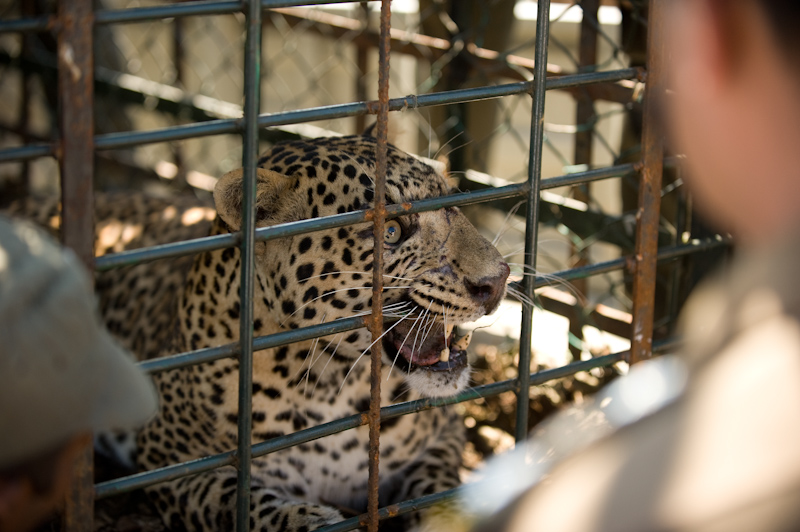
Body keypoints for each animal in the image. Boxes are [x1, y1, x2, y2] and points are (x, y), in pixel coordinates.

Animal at [10, 131, 506, 528]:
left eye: (452, 199)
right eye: (391, 232)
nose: (498, 280)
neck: (329, 385)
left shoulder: (443, 433)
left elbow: (440, 488)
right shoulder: (173, 459)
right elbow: (240, 501)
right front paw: (311, 520)